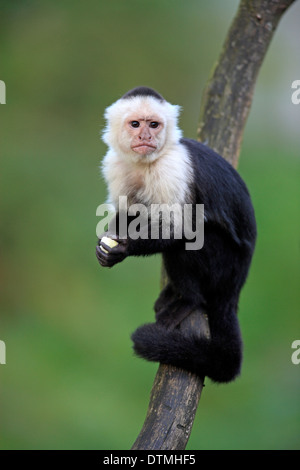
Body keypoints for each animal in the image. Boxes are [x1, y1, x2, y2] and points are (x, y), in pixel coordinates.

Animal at [95, 86, 255, 384]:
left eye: (154, 125)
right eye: (136, 124)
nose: (145, 137)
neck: (146, 163)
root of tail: (235, 286)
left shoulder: (172, 168)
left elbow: (181, 228)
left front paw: (124, 248)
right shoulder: (115, 164)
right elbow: (127, 213)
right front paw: (105, 249)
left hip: (225, 266)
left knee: (193, 240)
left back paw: (188, 300)